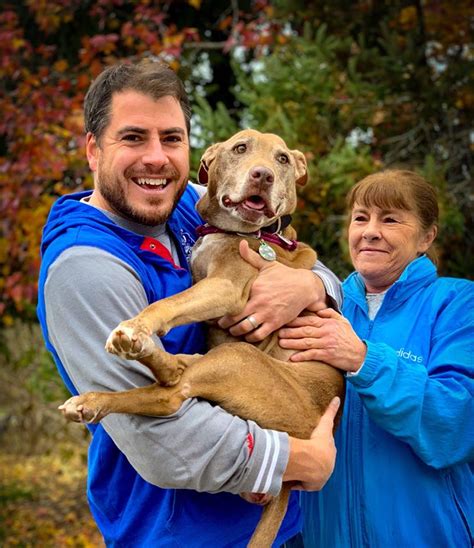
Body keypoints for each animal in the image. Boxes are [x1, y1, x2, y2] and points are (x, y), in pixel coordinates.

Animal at [59, 130, 344, 548]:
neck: (244, 232)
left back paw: (114, 372)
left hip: (239, 359)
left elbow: (168, 303)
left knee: (171, 393)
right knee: (177, 373)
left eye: (282, 159)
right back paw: (100, 393)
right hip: (226, 361)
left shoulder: (225, 288)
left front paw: (138, 326)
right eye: (240, 148)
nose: (262, 175)